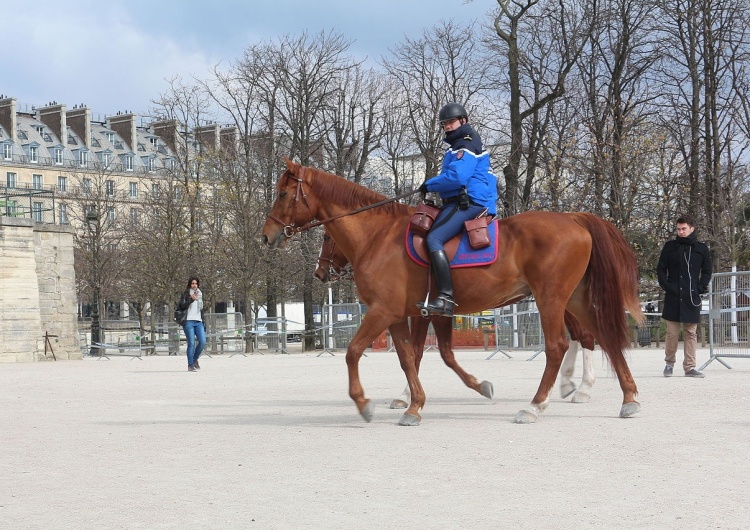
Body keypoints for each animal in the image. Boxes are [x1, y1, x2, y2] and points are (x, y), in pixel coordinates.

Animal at [318, 232, 600, 404]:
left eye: (327, 237)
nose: (320, 272)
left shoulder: (423, 313)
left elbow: (418, 353)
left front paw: (406, 396)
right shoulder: (427, 313)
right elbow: (422, 353)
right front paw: (409, 395)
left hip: (555, 303)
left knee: (581, 337)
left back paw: (581, 388)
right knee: (578, 338)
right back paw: (570, 384)